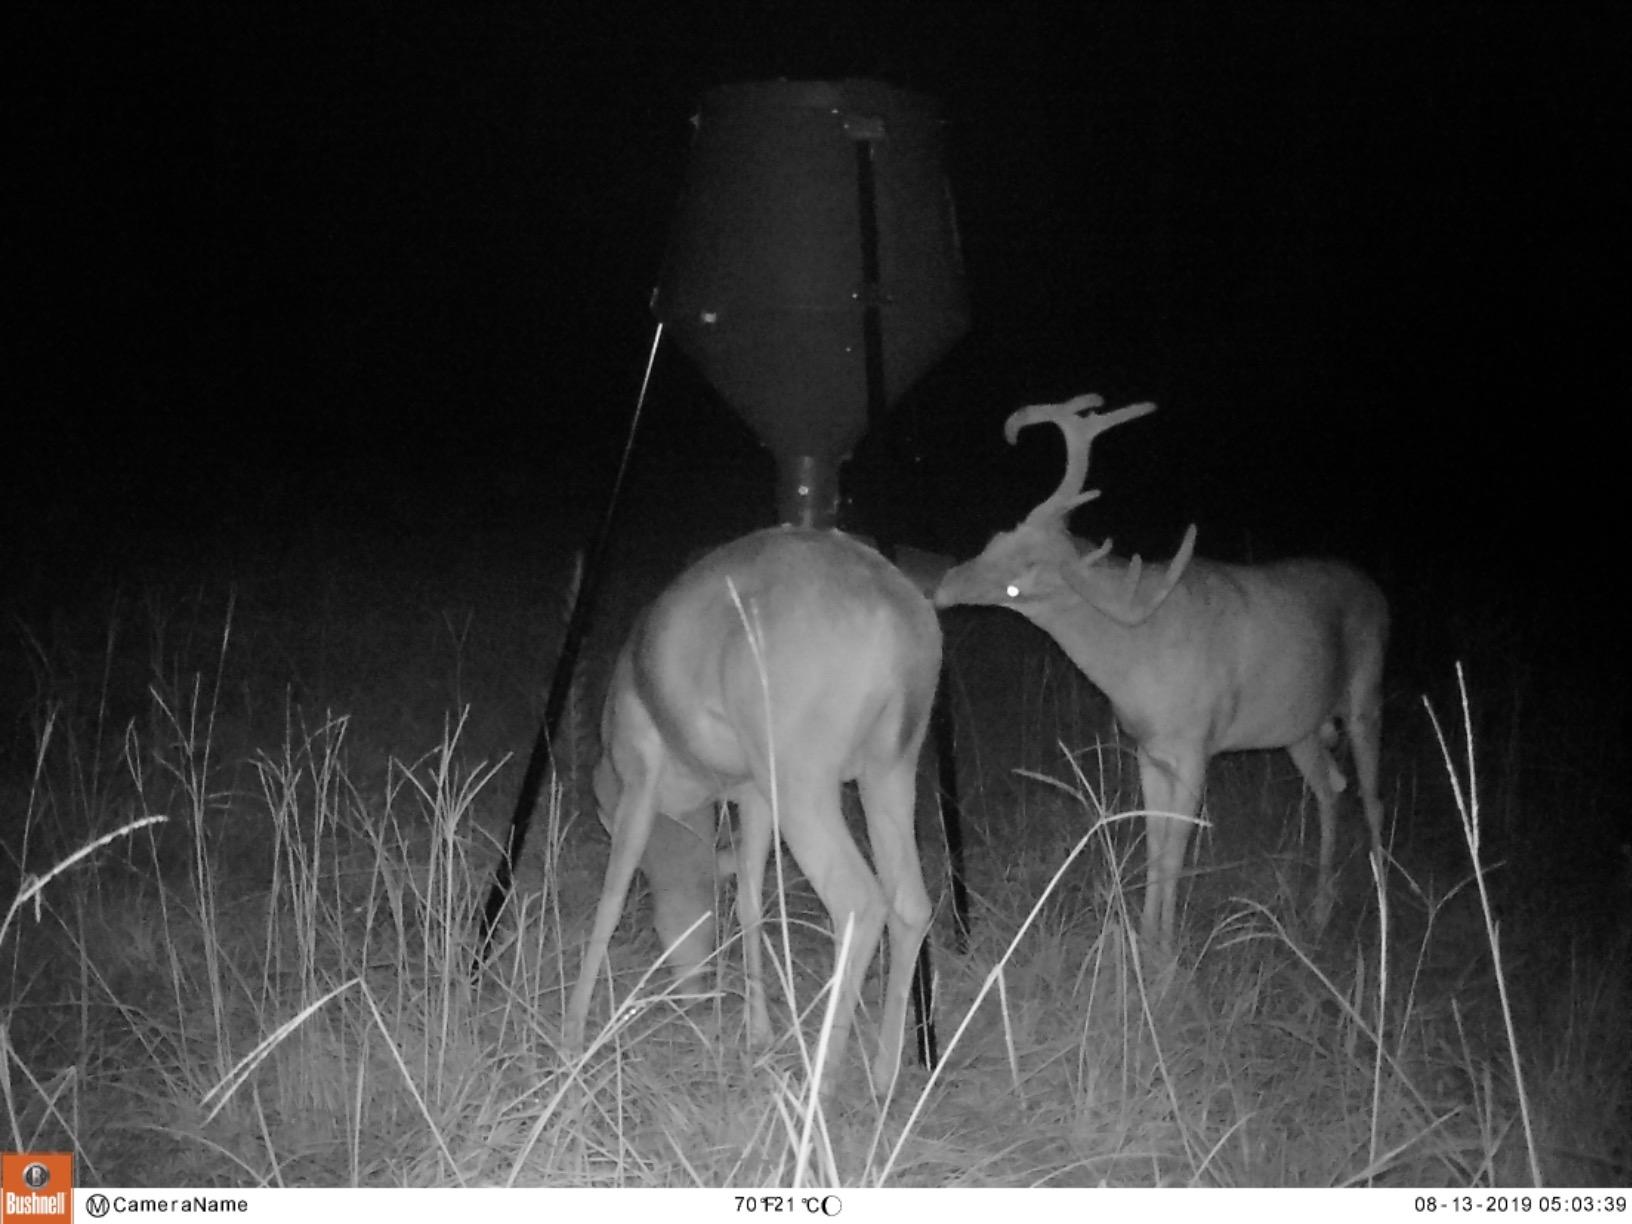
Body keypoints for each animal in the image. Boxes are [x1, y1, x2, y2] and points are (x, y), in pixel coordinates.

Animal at [562, 525, 941, 1098]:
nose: (695, 994)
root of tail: (897, 614)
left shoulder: (639, 781)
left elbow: (610, 898)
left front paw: (573, 1032)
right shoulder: (754, 796)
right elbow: (750, 903)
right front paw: (758, 1034)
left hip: (806, 789)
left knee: (859, 899)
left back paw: (819, 1085)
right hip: (888, 773)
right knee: (911, 905)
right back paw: (882, 1080)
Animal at [934, 393, 1388, 952]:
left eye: (1019, 584)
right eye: (998, 537)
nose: (944, 587)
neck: (1136, 658)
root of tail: (1377, 592)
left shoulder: (1196, 746)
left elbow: (1175, 847)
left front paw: (1165, 951)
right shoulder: (1147, 750)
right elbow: (1153, 842)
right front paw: (1145, 935)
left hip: (1366, 694)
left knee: (1372, 798)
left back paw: (1382, 913)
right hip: (1297, 728)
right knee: (1331, 790)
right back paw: (1320, 912)